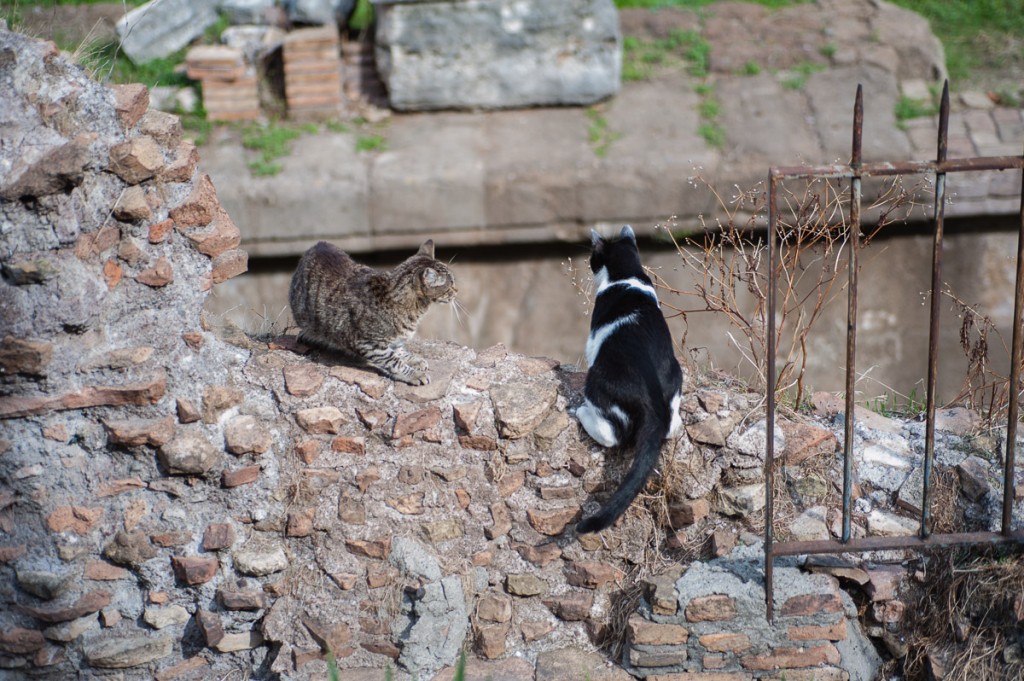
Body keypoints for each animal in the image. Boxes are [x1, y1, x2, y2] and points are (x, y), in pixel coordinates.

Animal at [288, 238, 456, 382]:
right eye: (450, 286)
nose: (457, 291)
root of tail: (318, 244)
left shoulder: (393, 342)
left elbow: (400, 351)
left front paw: (413, 359)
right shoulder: (369, 343)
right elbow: (394, 362)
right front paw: (414, 375)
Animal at [573, 225, 684, 532]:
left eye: (594, 257)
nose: (589, 262)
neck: (627, 276)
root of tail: (653, 404)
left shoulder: (592, 342)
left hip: (597, 380)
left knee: (612, 435)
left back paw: (581, 412)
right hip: (676, 372)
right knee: (672, 426)